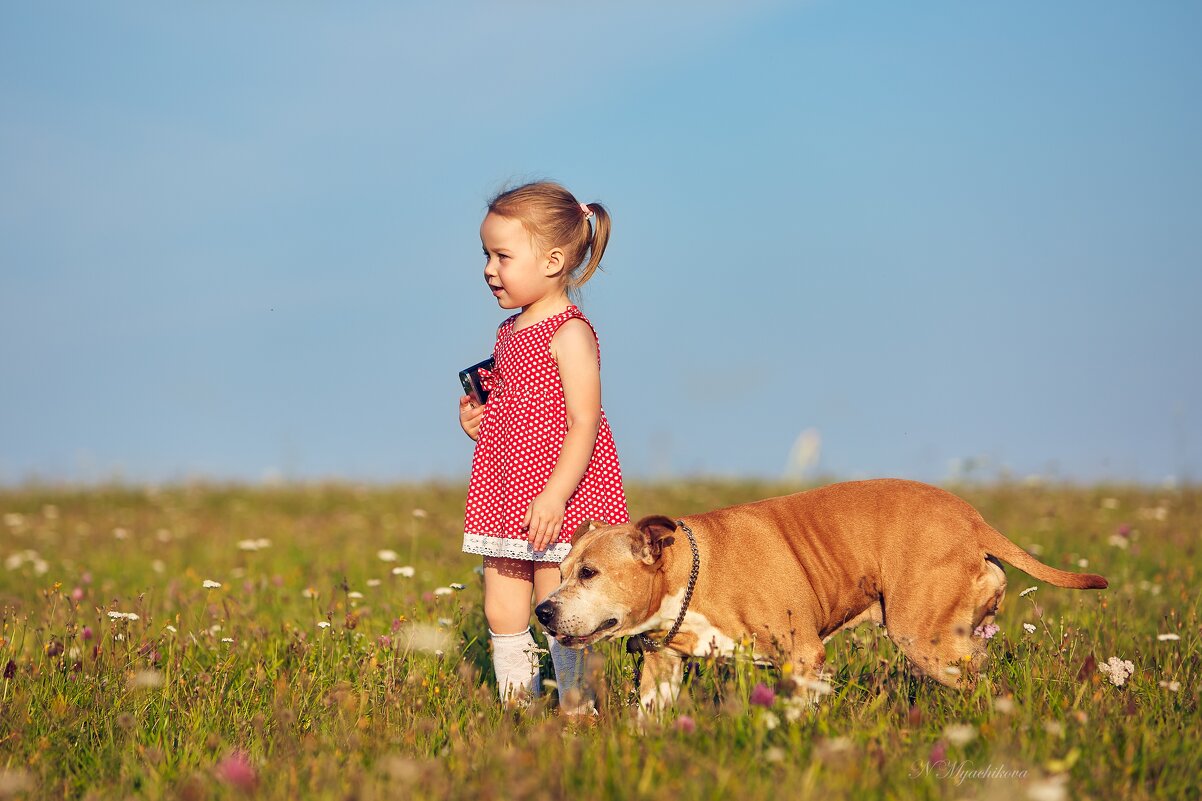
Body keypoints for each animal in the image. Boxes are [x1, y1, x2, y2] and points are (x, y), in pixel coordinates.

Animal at [536, 476, 1105, 707]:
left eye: (589, 574)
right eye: (560, 571)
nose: (542, 610)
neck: (692, 574)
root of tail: (974, 521)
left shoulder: (803, 656)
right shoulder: (663, 665)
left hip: (925, 640)